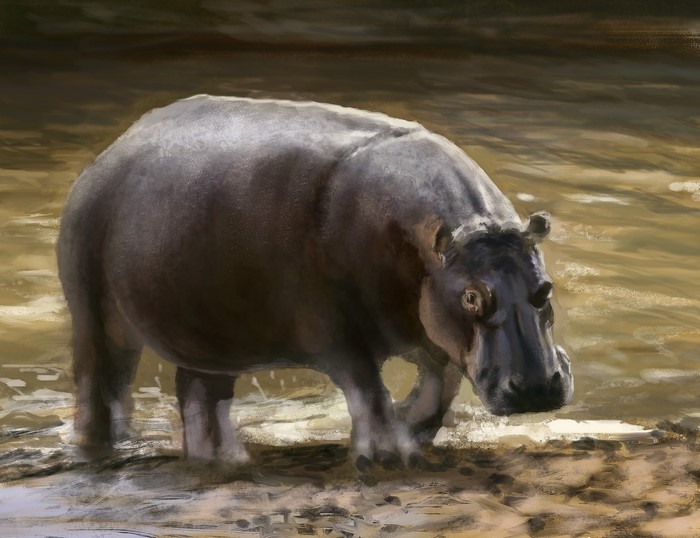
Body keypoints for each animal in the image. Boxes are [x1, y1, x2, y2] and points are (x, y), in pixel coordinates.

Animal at [57, 95, 573, 467]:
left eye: (546, 288)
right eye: (470, 296)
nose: (537, 387)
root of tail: (110, 150)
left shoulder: (424, 325)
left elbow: (439, 385)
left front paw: (411, 428)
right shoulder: (335, 330)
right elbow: (368, 387)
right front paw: (389, 454)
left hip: (209, 337)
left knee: (200, 400)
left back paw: (227, 461)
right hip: (95, 316)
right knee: (100, 388)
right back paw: (106, 451)